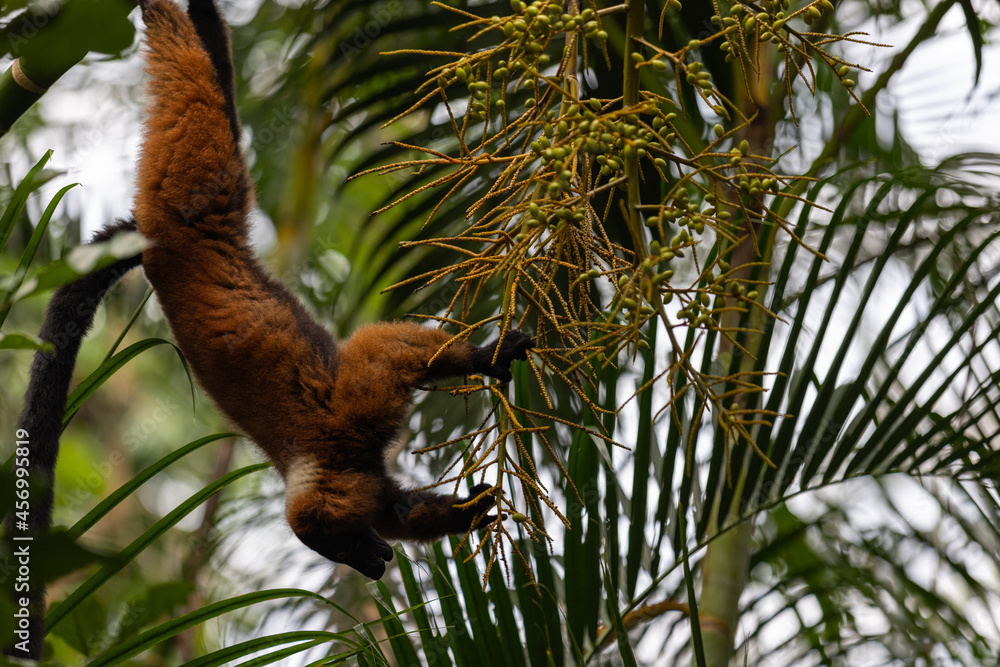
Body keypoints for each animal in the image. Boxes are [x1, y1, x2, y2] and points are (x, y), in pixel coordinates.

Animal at [5, 2, 532, 657]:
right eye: (344, 551)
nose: (375, 565)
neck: (329, 464)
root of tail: (156, 240)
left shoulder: (349, 423)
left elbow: (377, 353)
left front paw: (485, 357)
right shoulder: (360, 471)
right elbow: (402, 508)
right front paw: (474, 508)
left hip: (187, 192)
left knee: (194, 103)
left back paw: (165, 18)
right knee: (217, 98)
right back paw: (202, 18)